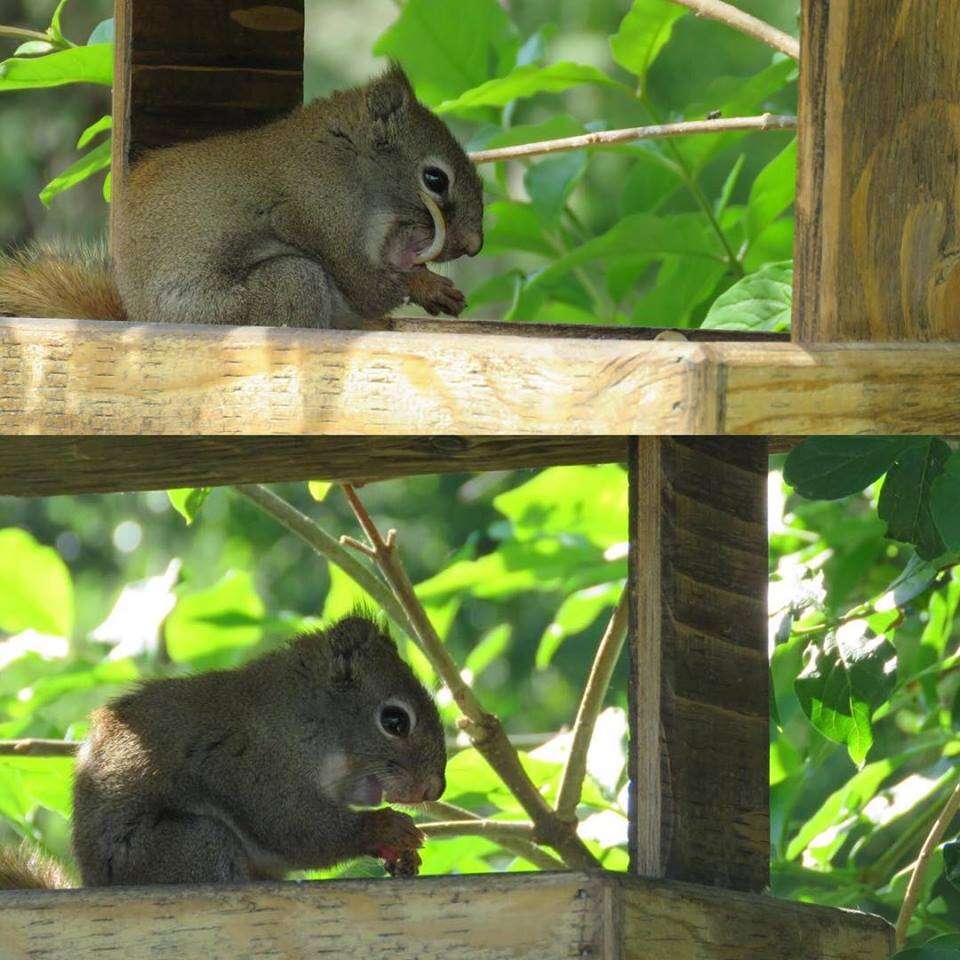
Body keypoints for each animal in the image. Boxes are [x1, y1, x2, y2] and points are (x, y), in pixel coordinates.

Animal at [0, 63, 480, 328]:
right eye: (435, 179)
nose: (473, 246)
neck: (346, 159)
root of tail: (139, 316)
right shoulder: (319, 211)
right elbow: (365, 285)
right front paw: (421, 286)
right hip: (257, 296)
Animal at [0, 612, 444, 888]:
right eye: (395, 721)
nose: (434, 789)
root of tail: (92, 879)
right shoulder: (249, 762)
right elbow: (293, 827)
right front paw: (386, 827)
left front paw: (404, 857)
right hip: (188, 846)